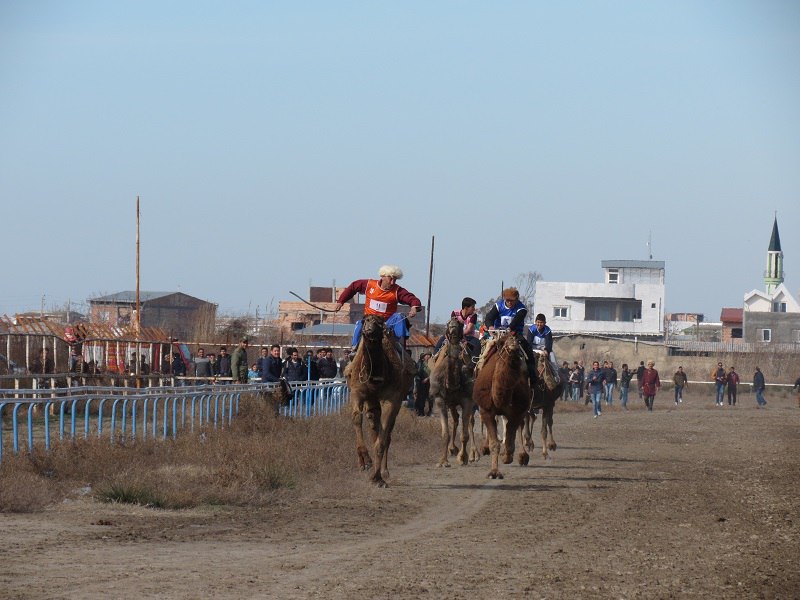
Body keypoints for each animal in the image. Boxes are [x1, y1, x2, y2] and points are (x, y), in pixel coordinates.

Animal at [342, 314, 412, 488]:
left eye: (379, 322)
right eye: (366, 320)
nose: (369, 329)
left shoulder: (392, 399)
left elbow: (383, 437)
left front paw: (376, 476)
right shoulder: (358, 392)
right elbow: (356, 418)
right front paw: (364, 460)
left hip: (397, 401)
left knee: (386, 433)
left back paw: (383, 473)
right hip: (372, 401)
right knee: (373, 423)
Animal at [428, 316, 478, 466]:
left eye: (460, 324)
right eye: (448, 324)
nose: (453, 326)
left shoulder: (467, 400)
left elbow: (465, 434)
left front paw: (463, 458)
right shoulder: (440, 399)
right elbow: (445, 433)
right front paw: (443, 461)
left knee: (470, 421)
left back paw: (473, 455)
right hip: (451, 403)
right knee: (455, 419)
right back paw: (452, 449)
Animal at [476, 332, 532, 478]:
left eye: (518, 341)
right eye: (503, 343)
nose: (513, 343)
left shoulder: (517, 412)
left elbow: (510, 442)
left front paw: (507, 457)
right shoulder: (486, 410)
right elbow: (495, 443)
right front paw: (494, 472)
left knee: (519, 425)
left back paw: (522, 456)